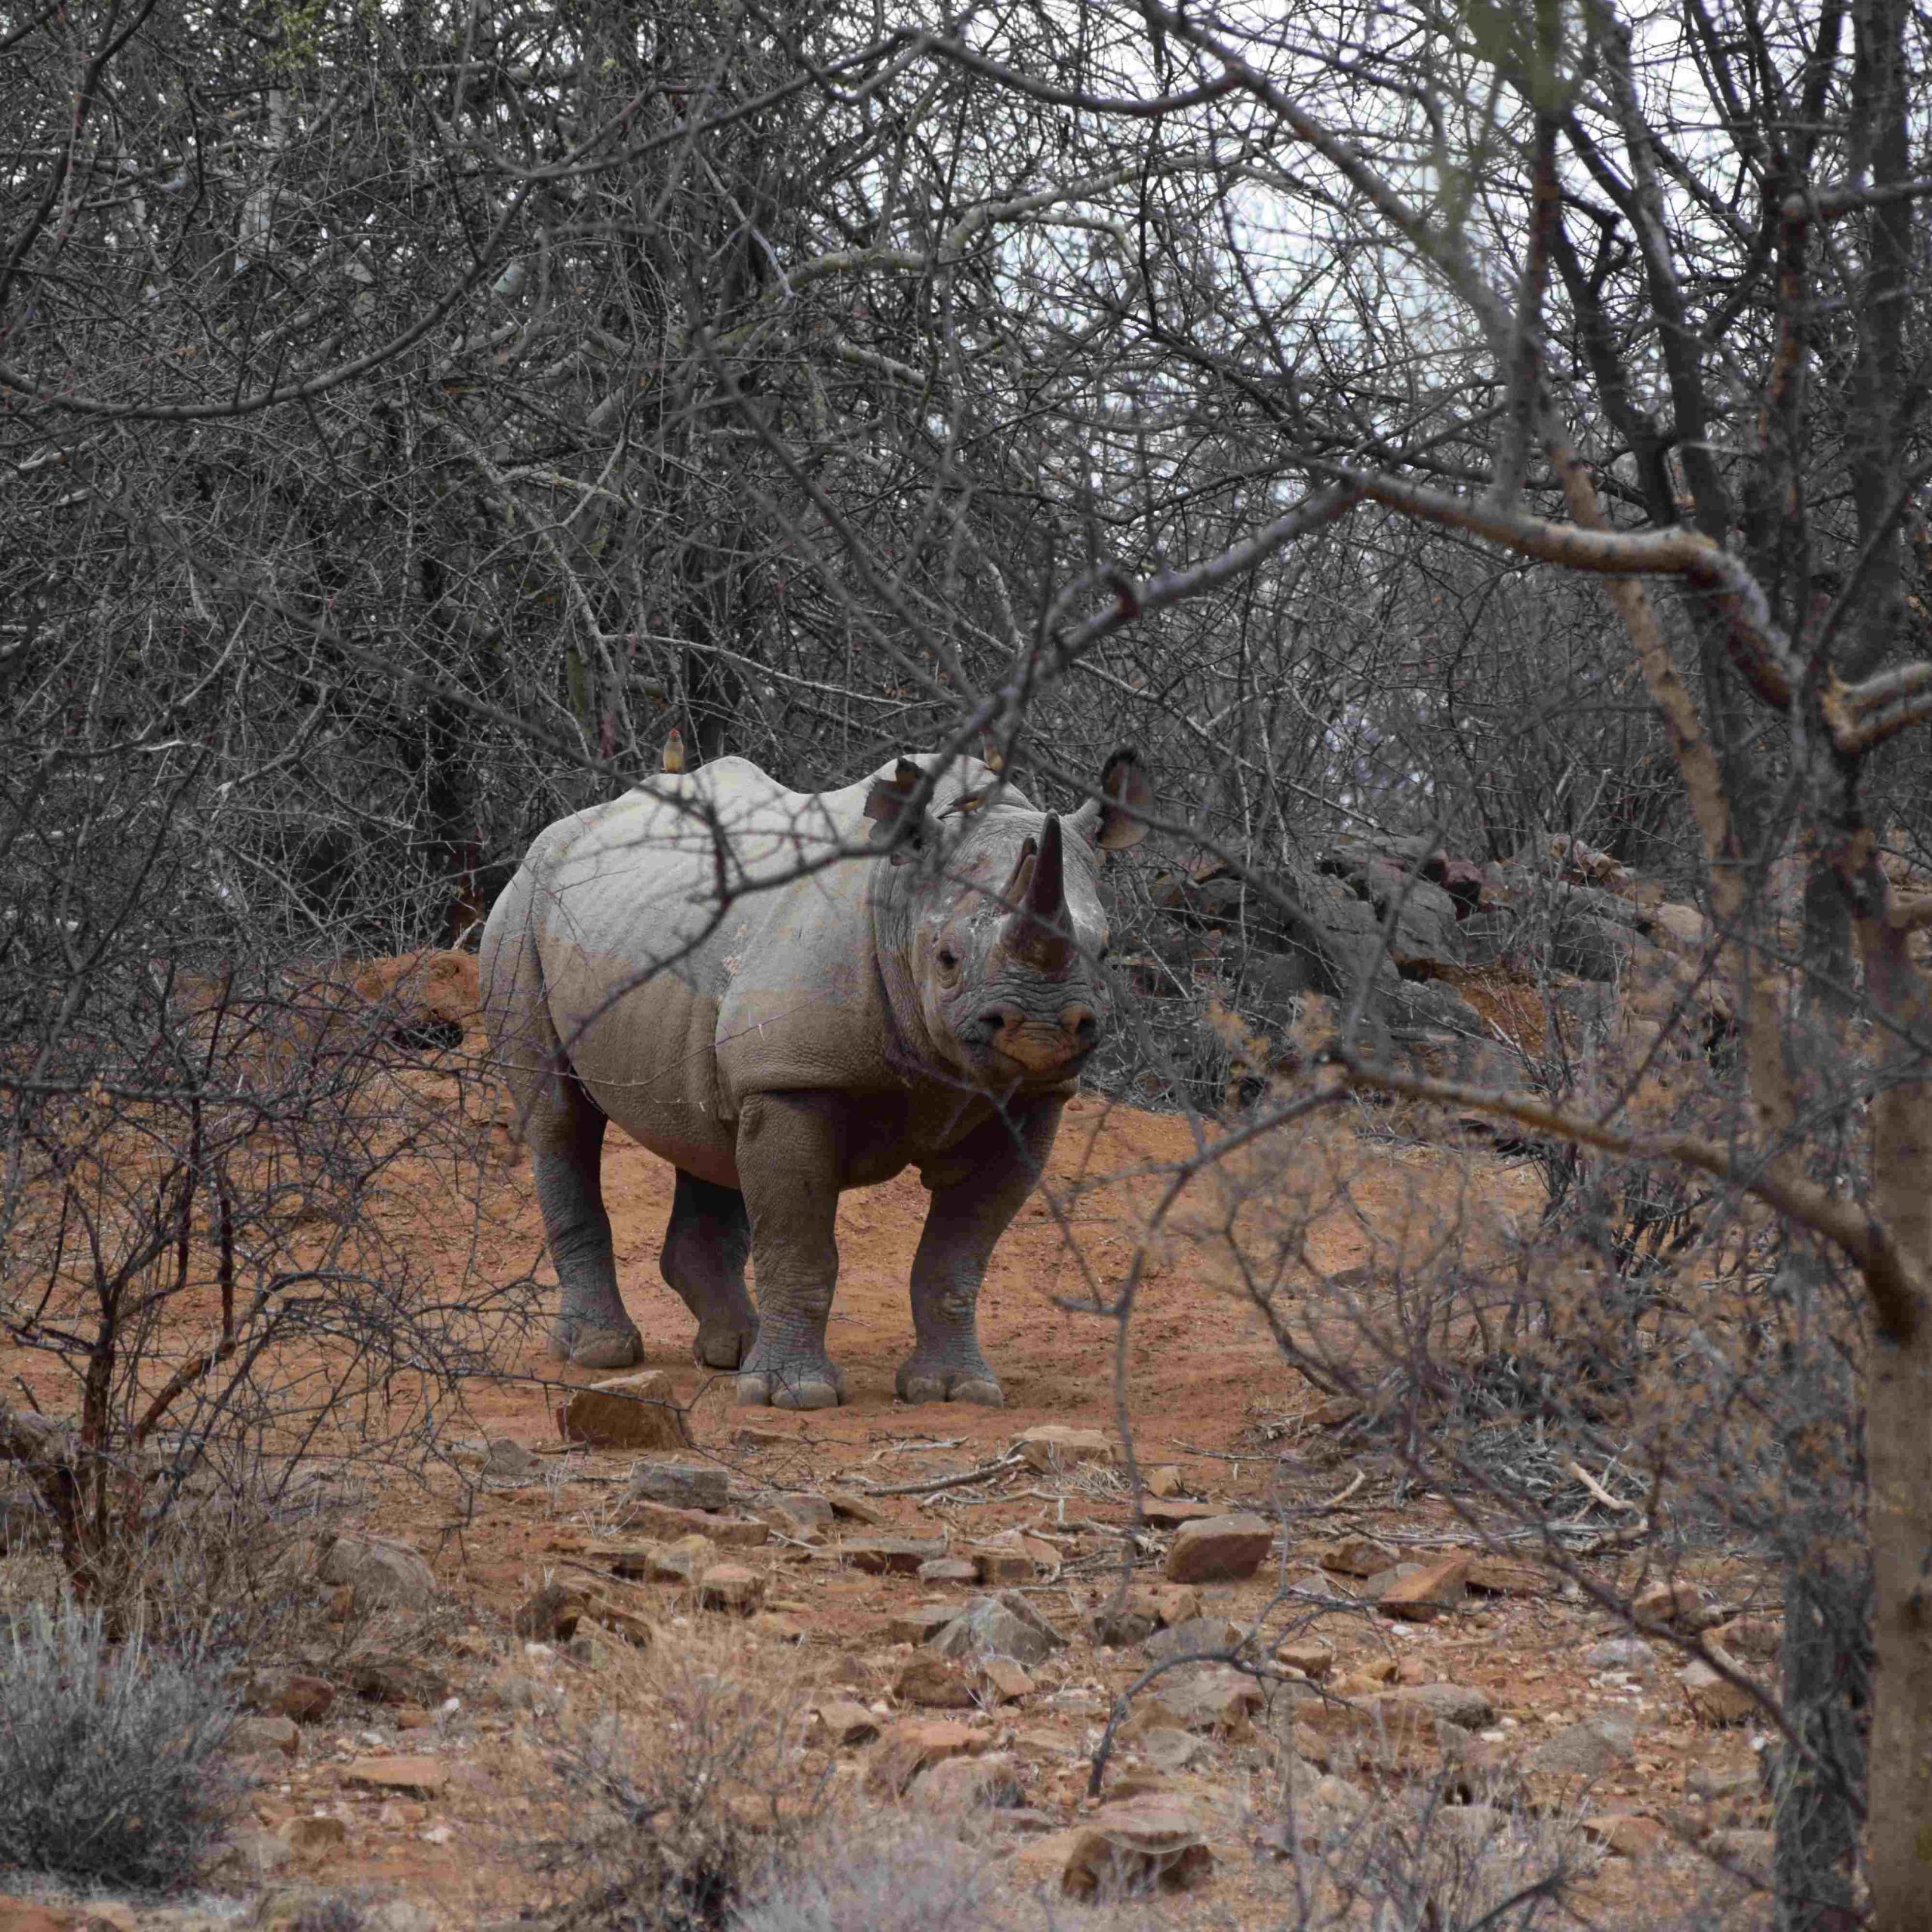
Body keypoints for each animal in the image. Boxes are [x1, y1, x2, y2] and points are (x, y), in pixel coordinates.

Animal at [478, 747, 1151, 1408]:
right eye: (947, 959)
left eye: (1106, 951)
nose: (1040, 1029)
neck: (903, 899)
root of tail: (560, 832)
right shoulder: (795, 1079)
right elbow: (801, 1247)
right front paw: (792, 1395)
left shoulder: (1027, 1101)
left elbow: (957, 1256)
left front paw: (956, 1390)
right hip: (520, 909)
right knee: (559, 1118)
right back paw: (602, 1353)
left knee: (707, 1130)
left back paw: (732, 1353)